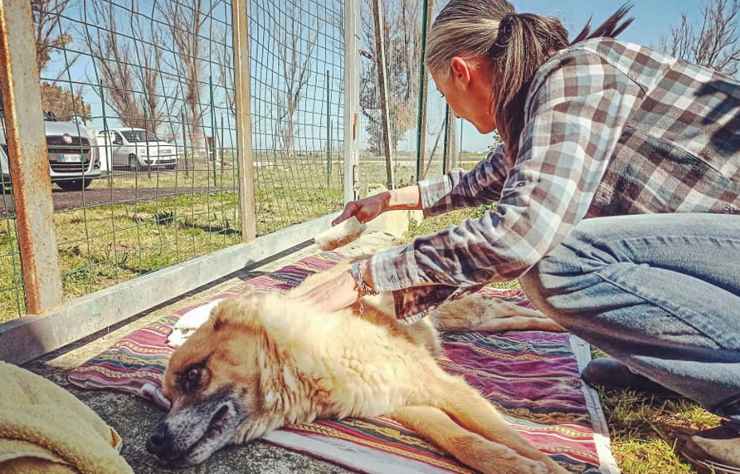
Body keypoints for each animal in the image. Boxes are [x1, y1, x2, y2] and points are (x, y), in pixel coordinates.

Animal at [149, 264, 568, 472]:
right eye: (167, 398)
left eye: (193, 375)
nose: (153, 442)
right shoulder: (408, 404)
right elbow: (463, 441)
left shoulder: (446, 386)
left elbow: (508, 436)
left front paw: (547, 466)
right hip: (483, 322)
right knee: (517, 317)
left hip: (474, 316)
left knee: (521, 312)